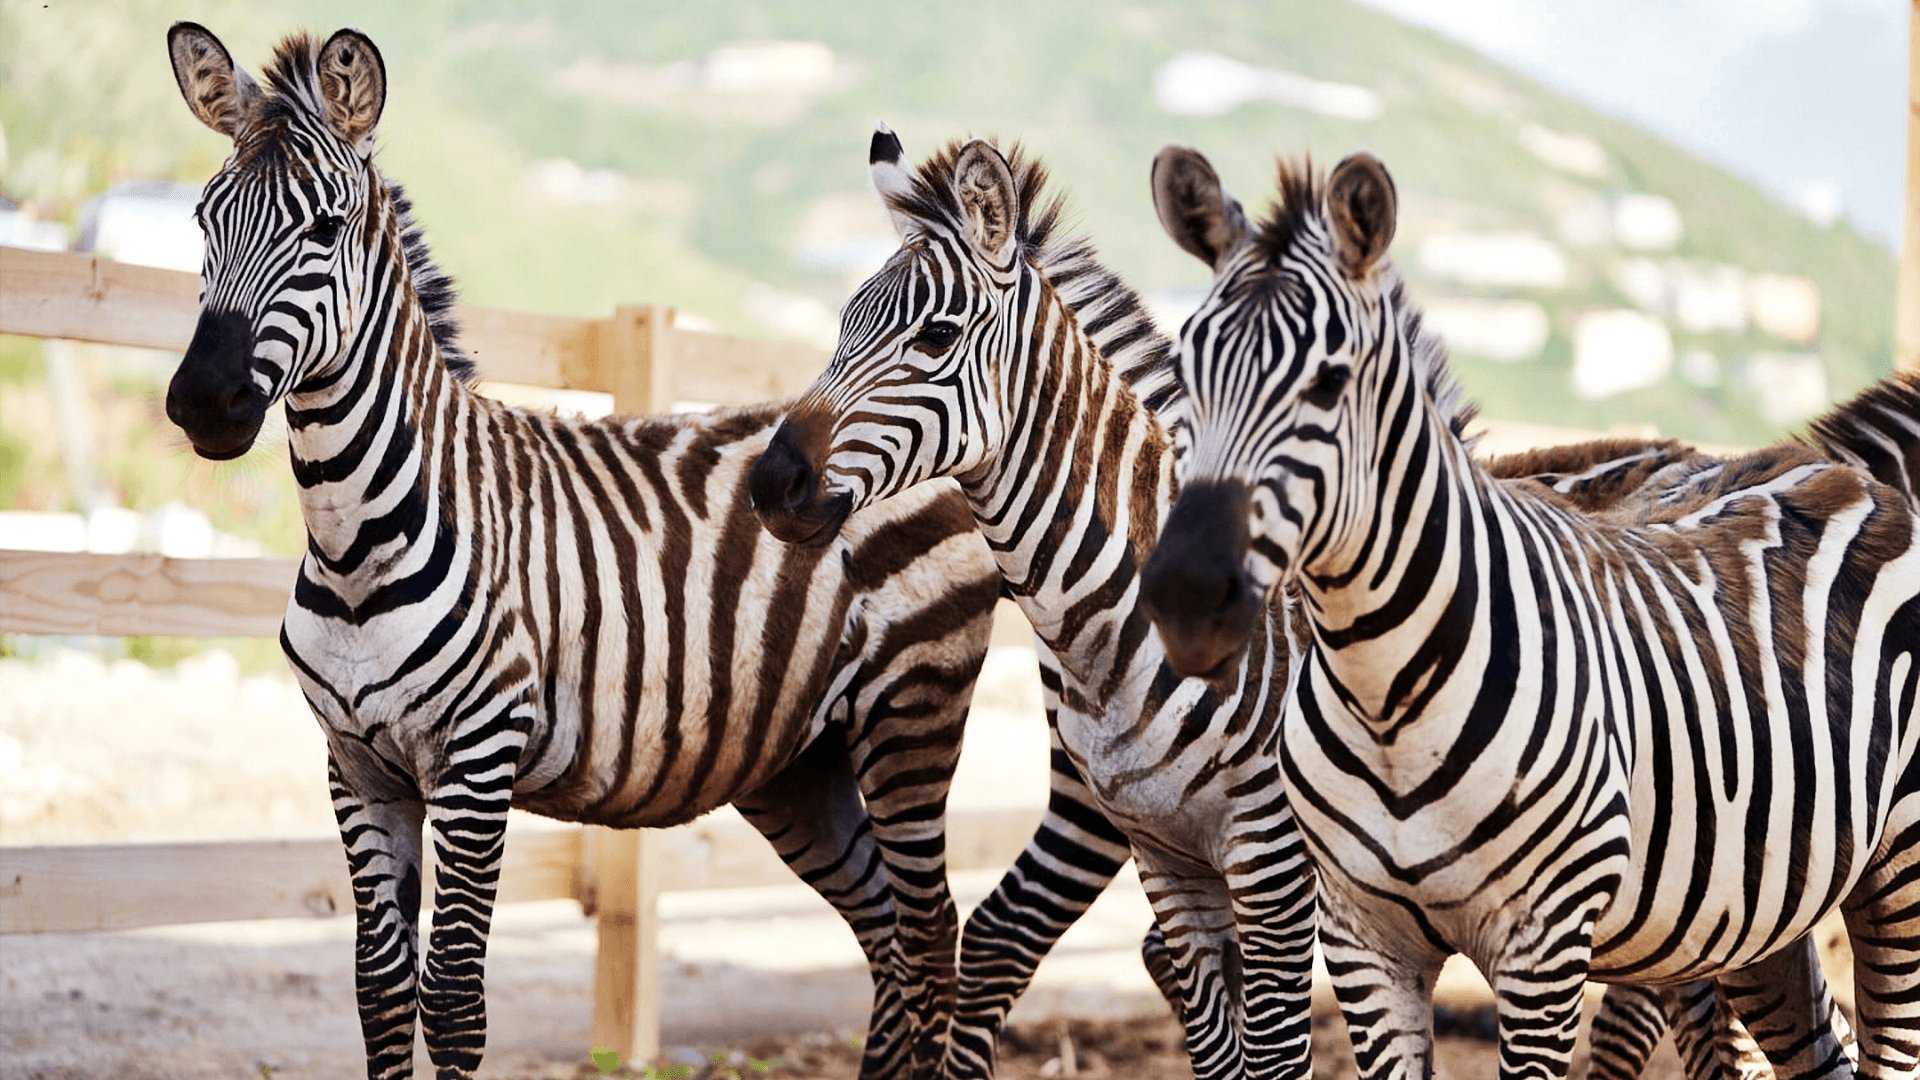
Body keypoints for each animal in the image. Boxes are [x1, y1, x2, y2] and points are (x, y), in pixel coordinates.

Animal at [1137, 145, 1920, 1079]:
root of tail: (1833, 470)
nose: (1184, 592)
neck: (1384, 691)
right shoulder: (1364, 940)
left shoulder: (1542, 950)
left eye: (1329, 384)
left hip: (1904, 865)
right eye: (1184, 373)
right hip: (1759, 903)